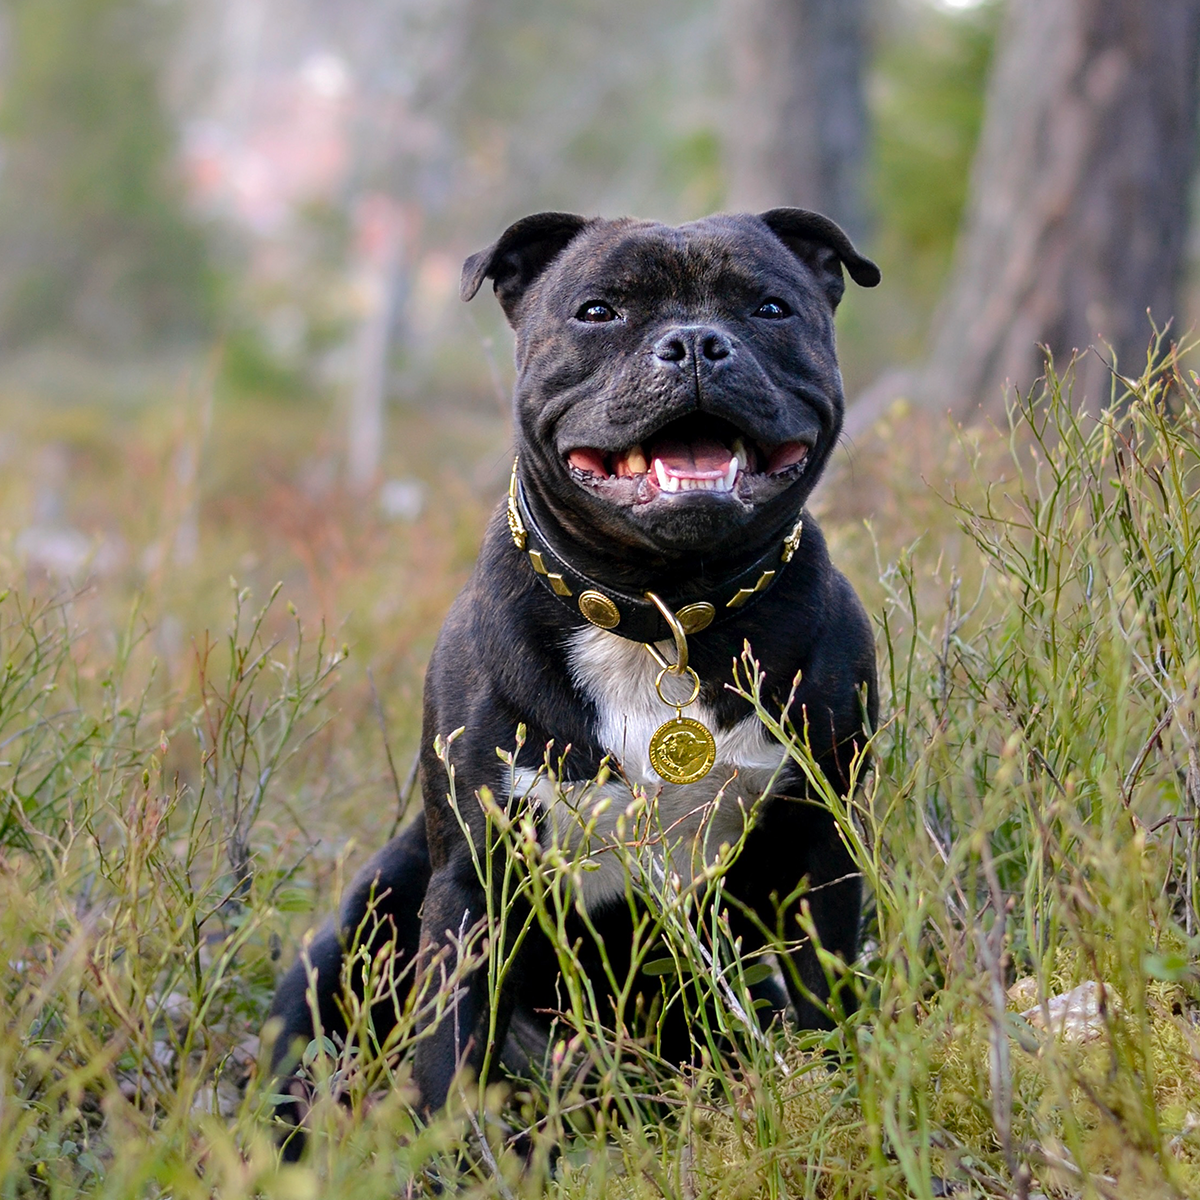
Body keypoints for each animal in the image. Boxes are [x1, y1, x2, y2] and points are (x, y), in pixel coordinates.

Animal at [272, 208, 883, 1142]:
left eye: (771, 307)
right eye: (598, 310)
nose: (695, 342)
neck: (662, 610)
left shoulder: (822, 845)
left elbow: (825, 992)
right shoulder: (475, 879)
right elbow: (450, 1048)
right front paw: (452, 1153)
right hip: (363, 915)